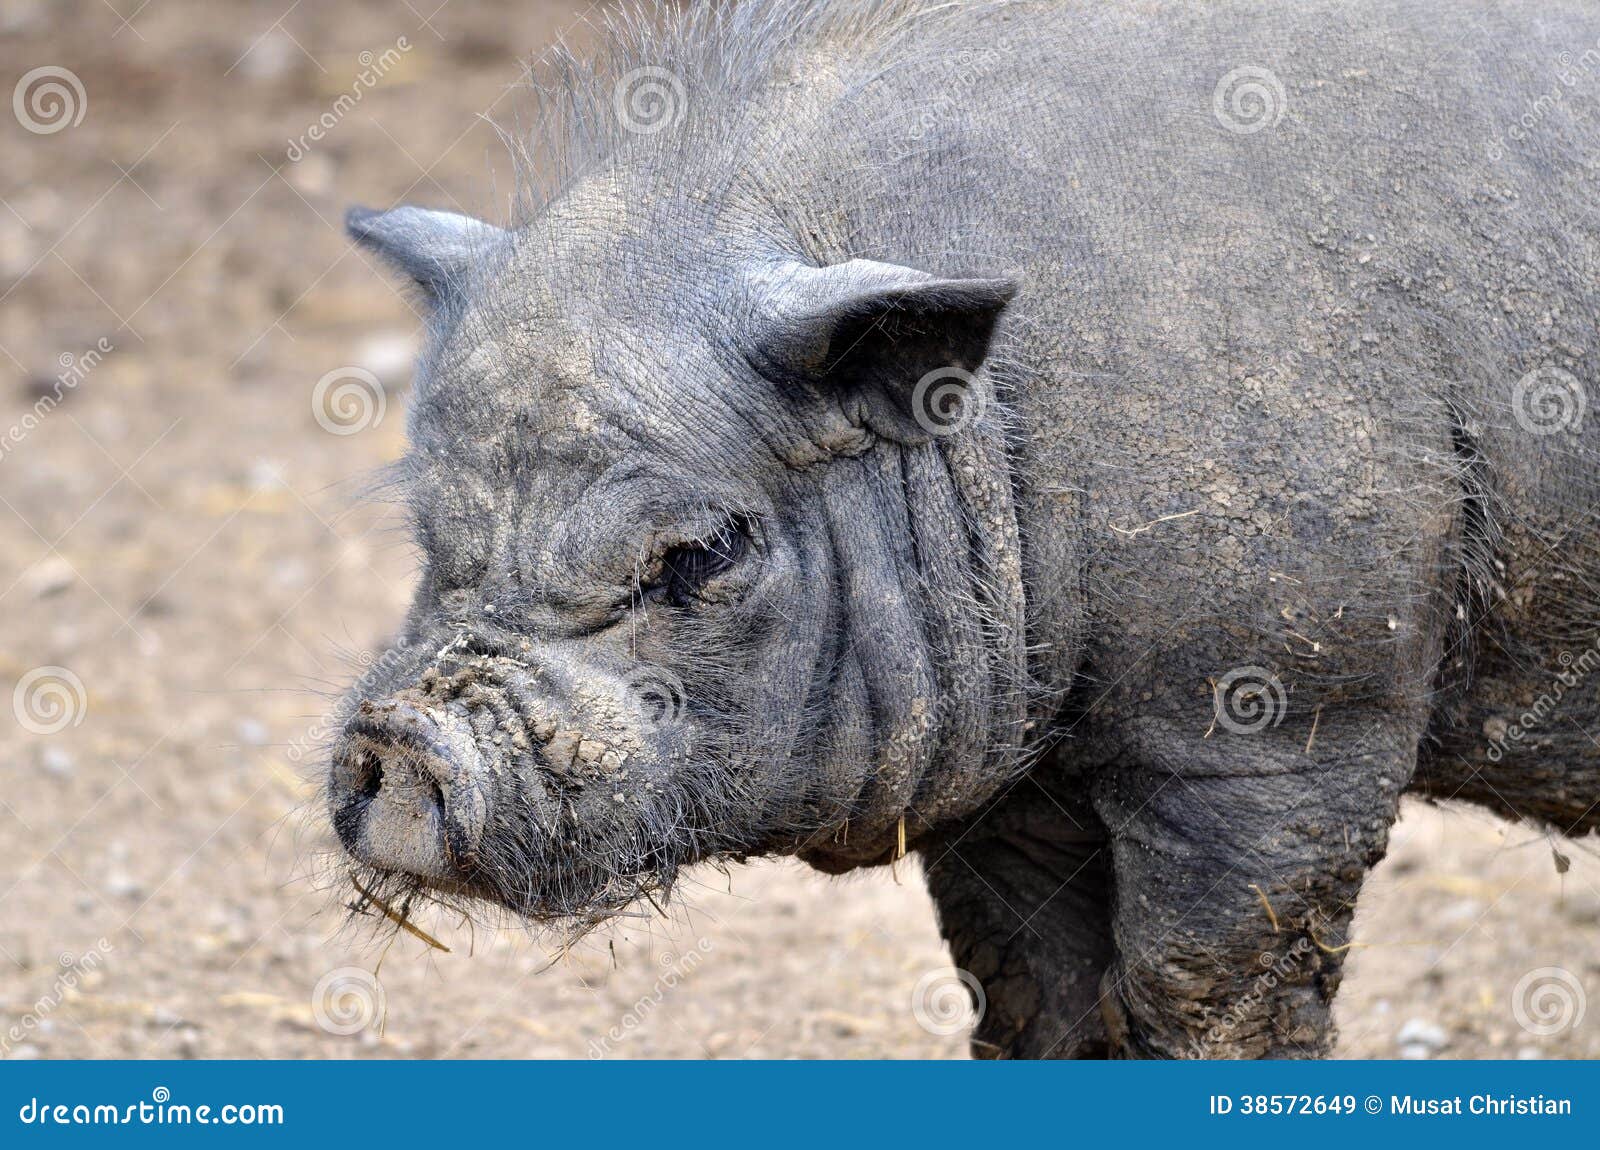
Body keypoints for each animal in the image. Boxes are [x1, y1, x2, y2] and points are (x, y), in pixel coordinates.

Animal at [331, 0, 1600, 1062]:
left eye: (701, 552)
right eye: (429, 530)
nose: (398, 736)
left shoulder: (1286, 714)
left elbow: (1208, 991)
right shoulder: (1013, 791)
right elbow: (1032, 992)